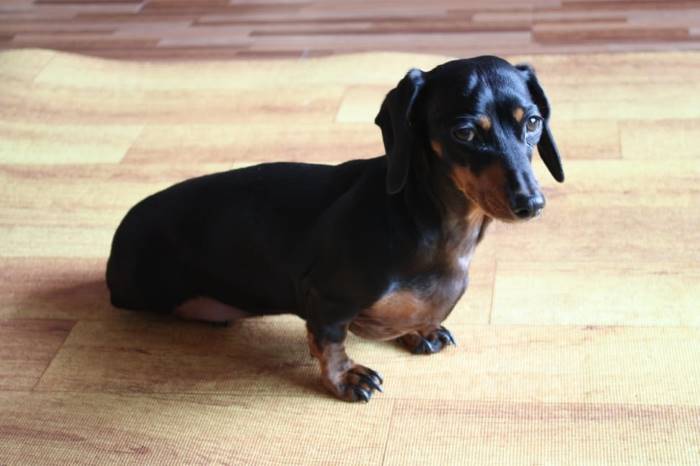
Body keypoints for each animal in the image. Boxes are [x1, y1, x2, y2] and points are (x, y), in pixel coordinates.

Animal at [105, 57, 564, 400]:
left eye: (532, 122)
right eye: (465, 132)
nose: (531, 204)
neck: (427, 217)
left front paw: (421, 330)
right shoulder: (325, 296)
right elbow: (329, 341)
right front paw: (344, 378)